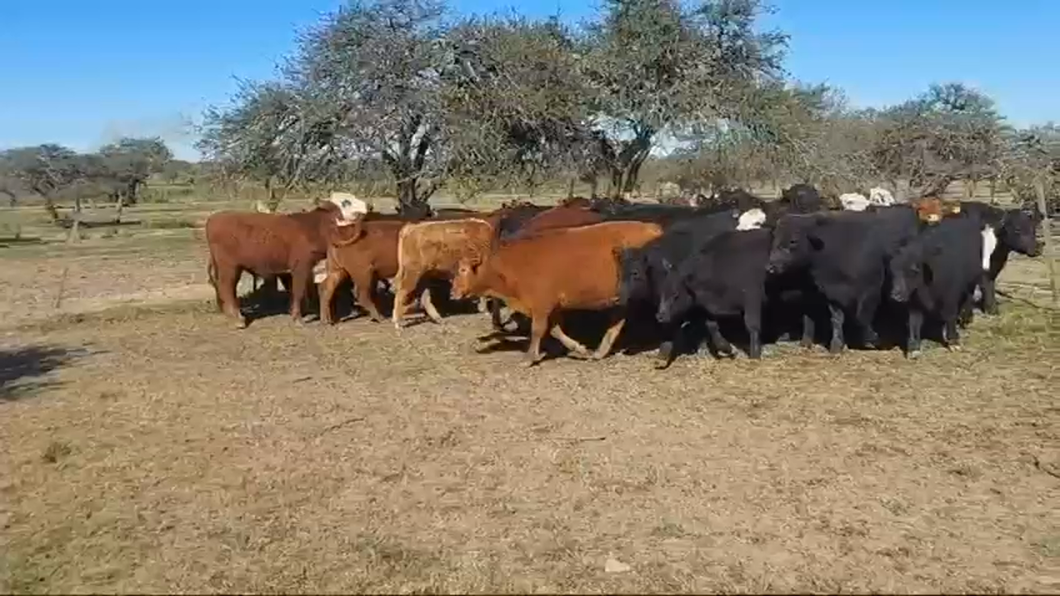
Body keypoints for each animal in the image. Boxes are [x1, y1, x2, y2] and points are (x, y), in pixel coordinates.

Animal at [208, 201, 349, 326]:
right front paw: (298, 319)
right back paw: (238, 319)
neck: (313, 228)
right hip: (229, 267)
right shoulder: (300, 267)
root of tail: (214, 218)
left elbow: (294, 291)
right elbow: (298, 291)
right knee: (226, 288)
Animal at [447, 220, 661, 364]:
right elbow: (556, 330)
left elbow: (538, 330)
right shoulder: (554, 306)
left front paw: (530, 357)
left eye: (463, 270)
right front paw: (579, 348)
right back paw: (601, 351)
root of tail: (653, 228)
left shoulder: (541, 305)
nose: (453, 293)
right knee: (618, 320)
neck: (514, 263)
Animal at [652, 228, 771, 362]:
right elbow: (712, 326)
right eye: (663, 291)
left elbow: (752, 326)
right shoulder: (710, 306)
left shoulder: (752, 297)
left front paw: (755, 356)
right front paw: (726, 348)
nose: (660, 316)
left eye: (676, 295)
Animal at [767, 205, 924, 349]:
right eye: (774, 238)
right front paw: (836, 345)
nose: (770, 266)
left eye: (793, 240)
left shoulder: (870, 290)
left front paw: (872, 338)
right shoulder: (831, 293)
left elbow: (862, 317)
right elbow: (837, 319)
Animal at [886, 214, 983, 356]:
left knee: (968, 298)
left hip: (972, 280)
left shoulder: (950, 296)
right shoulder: (914, 302)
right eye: (892, 270)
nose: (895, 295)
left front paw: (953, 341)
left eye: (914, 270)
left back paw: (966, 319)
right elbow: (914, 322)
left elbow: (950, 315)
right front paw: (914, 348)